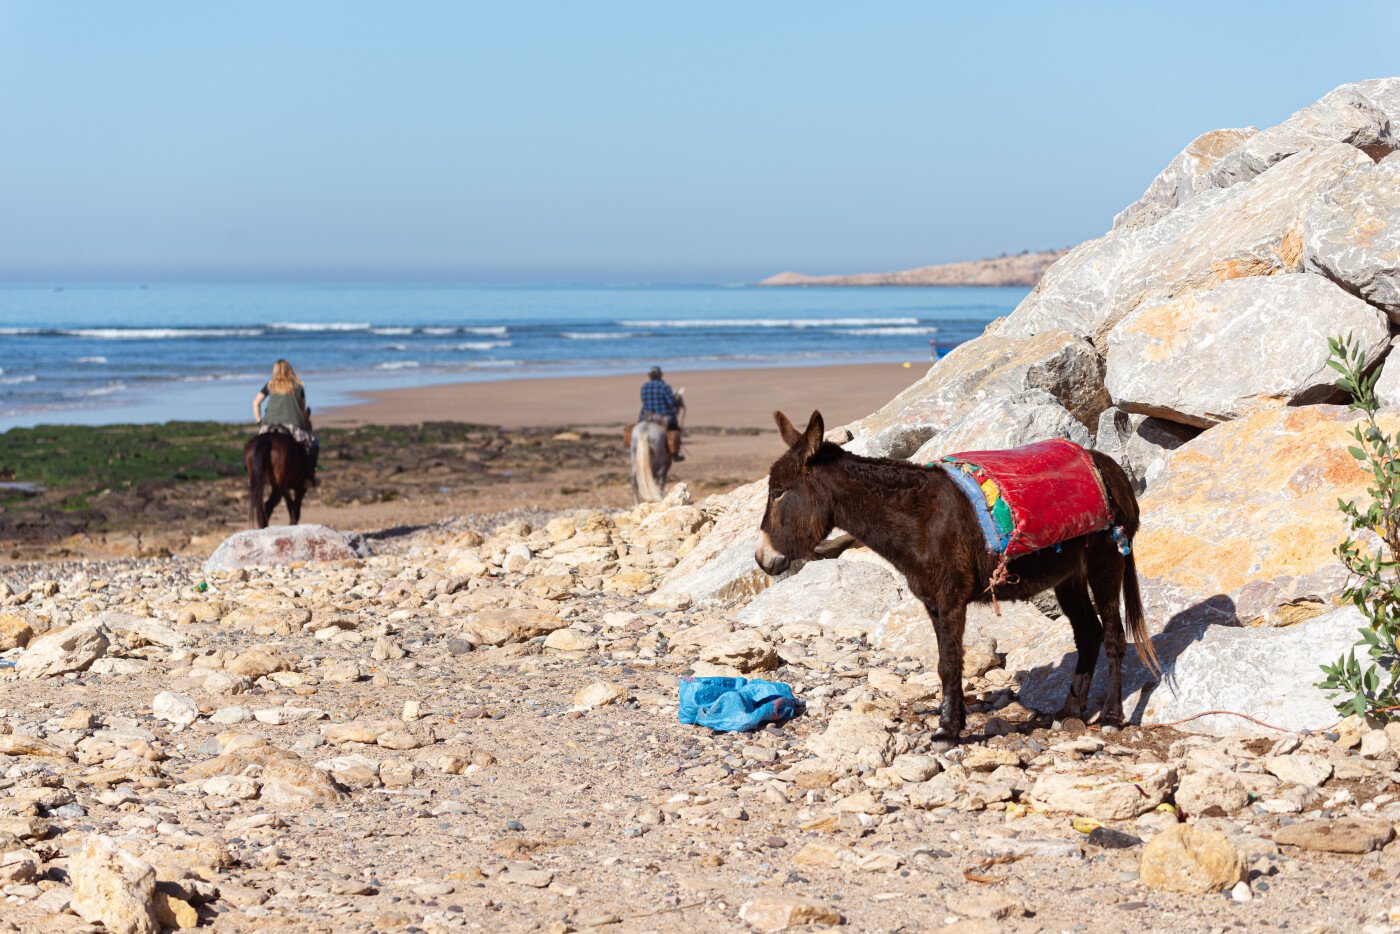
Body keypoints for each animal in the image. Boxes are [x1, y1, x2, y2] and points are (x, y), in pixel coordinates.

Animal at [756, 408, 1159, 744]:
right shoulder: (933, 603)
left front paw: (947, 731)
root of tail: (1111, 468)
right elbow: (945, 662)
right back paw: (1069, 711)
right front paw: (954, 720)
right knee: (1088, 634)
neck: (920, 520)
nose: (761, 560)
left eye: (778, 493)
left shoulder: (951, 599)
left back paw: (1110, 717)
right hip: (1067, 574)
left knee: (1113, 637)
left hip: (1106, 560)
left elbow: (950, 663)